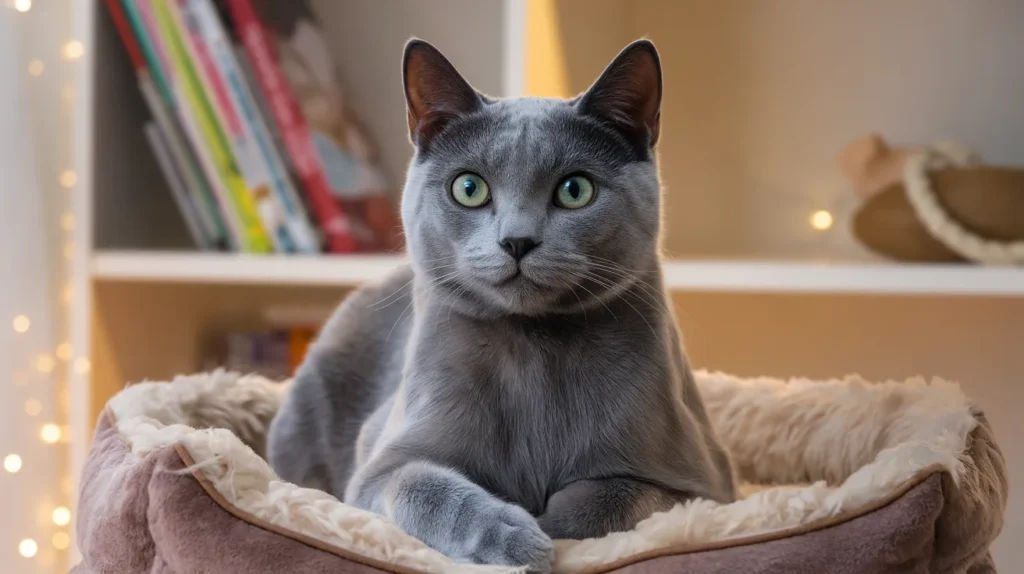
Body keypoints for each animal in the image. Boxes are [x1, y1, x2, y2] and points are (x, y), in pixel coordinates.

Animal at [270, 39, 737, 572]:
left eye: (575, 190)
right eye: (469, 188)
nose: (517, 241)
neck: (533, 349)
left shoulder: (704, 485)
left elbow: (614, 497)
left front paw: (550, 530)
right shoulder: (379, 467)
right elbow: (422, 486)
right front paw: (515, 537)